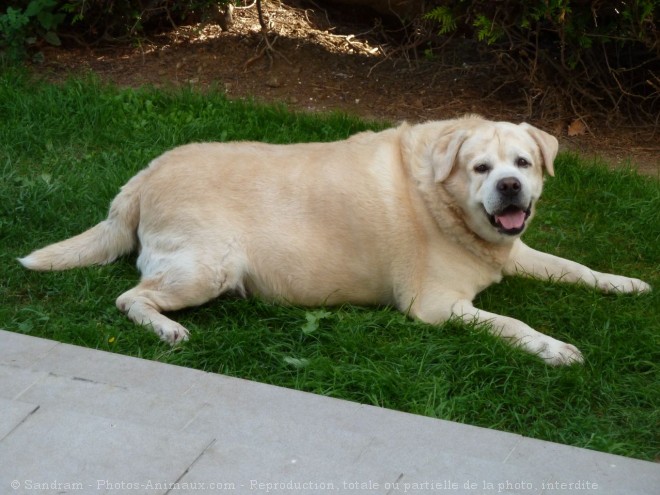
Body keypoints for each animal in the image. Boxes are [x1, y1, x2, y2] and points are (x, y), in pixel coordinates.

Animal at [20, 115, 648, 364]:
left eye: (522, 162)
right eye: (480, 168)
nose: (511, 187)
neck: (445, 203)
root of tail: (144, 174)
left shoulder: (516, 251)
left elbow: (577, 268)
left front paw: (627, 284)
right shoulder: (435, 306)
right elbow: (512, 324)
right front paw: (554, 348)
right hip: (208, 267)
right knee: (130, 296)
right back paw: (167, 328)